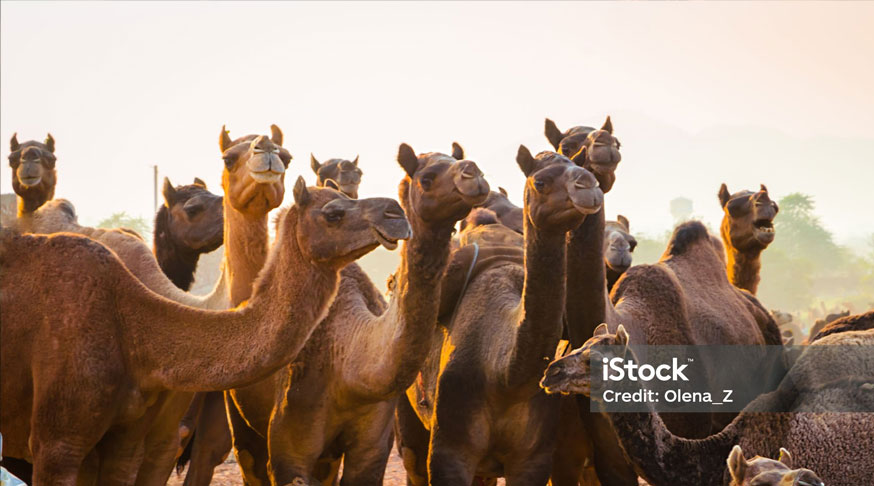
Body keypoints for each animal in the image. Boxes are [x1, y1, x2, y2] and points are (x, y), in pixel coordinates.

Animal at [218, 143, 490, 486]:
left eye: (456, 160)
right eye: (426, 178)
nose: (474, 174)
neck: (349, 365)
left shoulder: (373, 445)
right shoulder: (289, 451)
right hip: (241, 421)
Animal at [396, 146, 603, 486]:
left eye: (583, 169)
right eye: (541, 182)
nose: (588, 185)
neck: (504, 378)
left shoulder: (532, 459)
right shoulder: (450, 452)